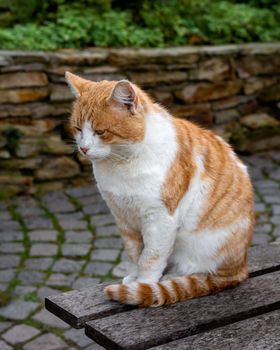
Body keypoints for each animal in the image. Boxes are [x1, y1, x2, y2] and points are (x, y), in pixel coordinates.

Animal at [66, 72, 255, 306]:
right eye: (78, 129)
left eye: (100, 131)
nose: (83, 148)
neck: (122, 164)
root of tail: (241, 268)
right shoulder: (123, 217)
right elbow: (134, 254)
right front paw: (134, 277)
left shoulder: (160, 219)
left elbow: (150, 257)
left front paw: (144, 284)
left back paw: (172, 278)